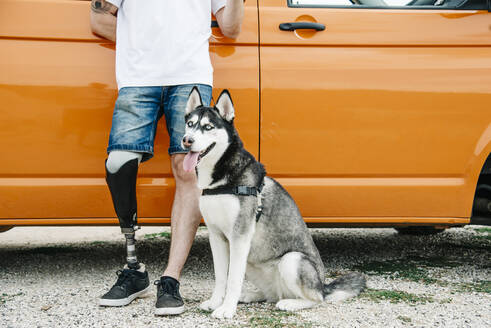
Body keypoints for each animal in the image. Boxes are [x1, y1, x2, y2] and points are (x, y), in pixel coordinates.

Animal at [181, 88, 366, 320]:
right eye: (190, 124)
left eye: (208, 127)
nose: (186, 140)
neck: (221, 180)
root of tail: (323, 285)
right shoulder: (217, 236)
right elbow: (222, 277)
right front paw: (216, 302)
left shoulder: (240, 236)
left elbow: (233, 279)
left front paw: (226, 308)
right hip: (252, 262)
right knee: (270, 294)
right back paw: (252, 295)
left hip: (291, 261)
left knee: (316, 299)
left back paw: (290, 303)